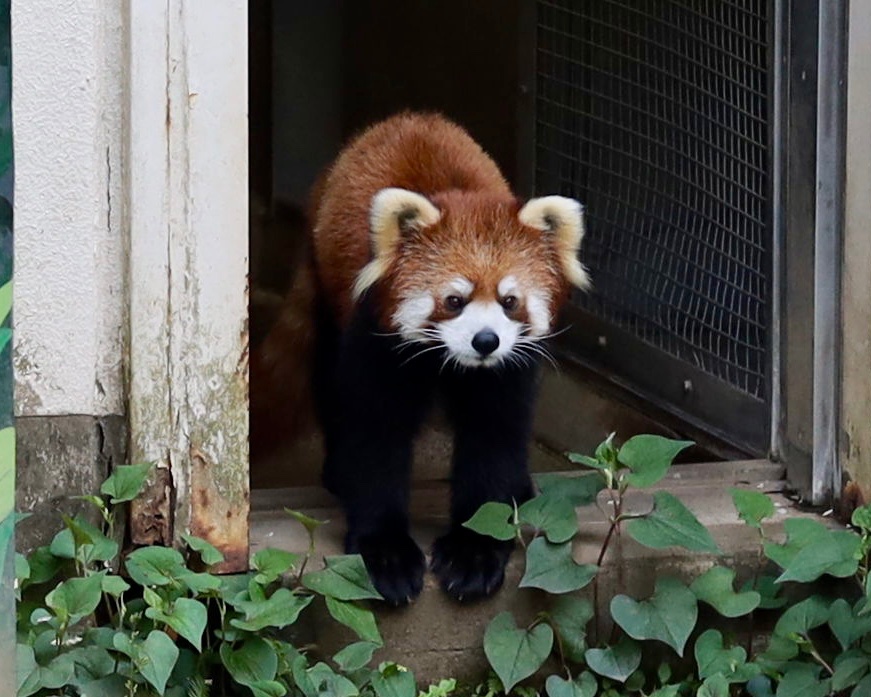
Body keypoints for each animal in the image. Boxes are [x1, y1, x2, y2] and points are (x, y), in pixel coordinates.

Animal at [262, 114, 584, 604]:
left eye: (510, 301)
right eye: (454, 300)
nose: (485, 341)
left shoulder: (507, 369)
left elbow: (494, 439)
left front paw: (476, 551)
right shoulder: (376, 341)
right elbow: (375, 438)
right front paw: (385, 553)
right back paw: (337, 472)